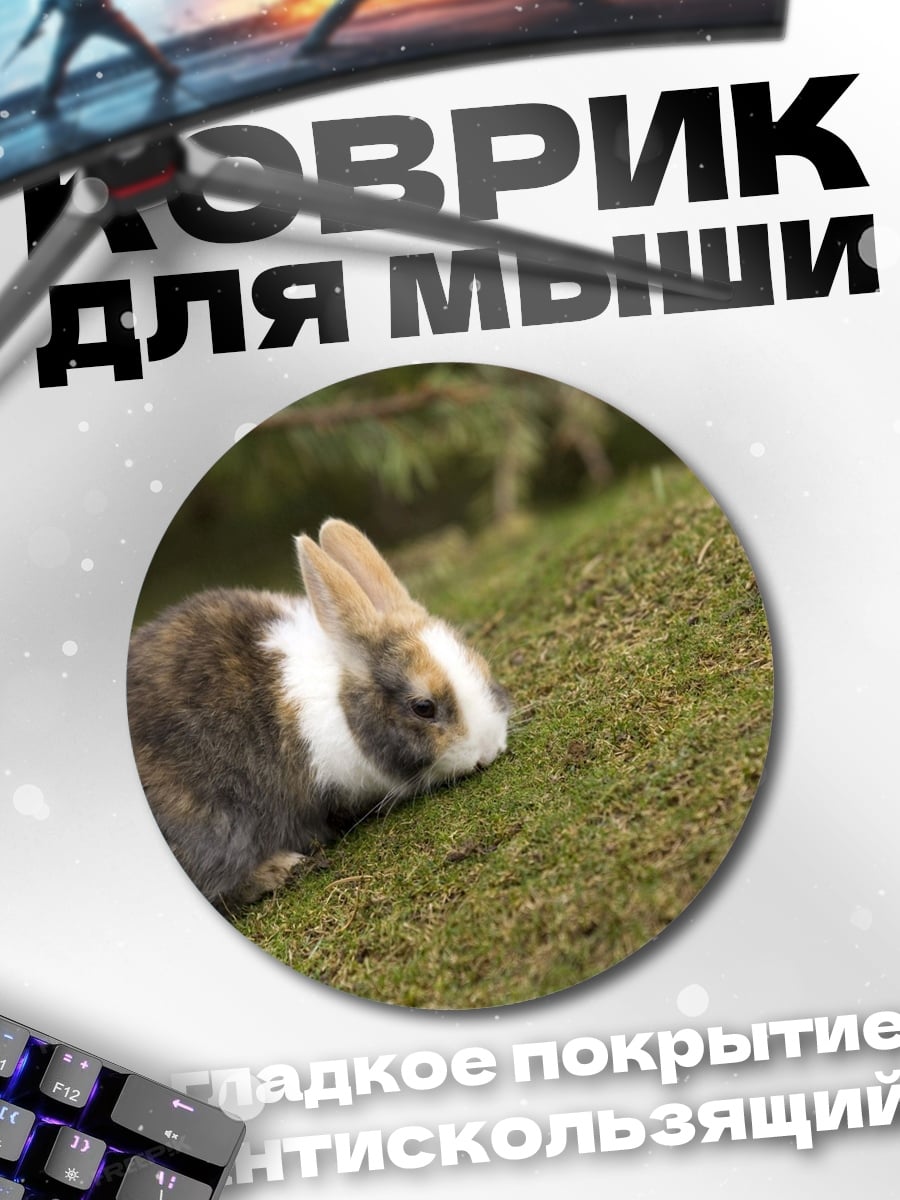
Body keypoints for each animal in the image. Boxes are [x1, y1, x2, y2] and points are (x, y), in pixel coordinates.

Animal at [126, 518, 511, 912]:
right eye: (423, 707)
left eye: (480, 665)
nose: (489, 750)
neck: (342, 700)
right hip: (212, 827)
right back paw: (281, 868)